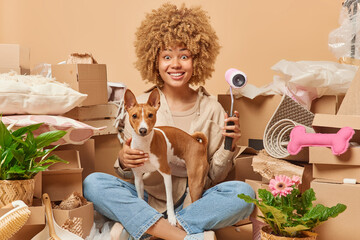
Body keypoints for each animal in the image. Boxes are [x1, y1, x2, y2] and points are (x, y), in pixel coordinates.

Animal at [123, 88, 208, 225]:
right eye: (134, 116)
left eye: (150, 115)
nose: (143, 130)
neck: (145, 145)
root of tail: (199, 144)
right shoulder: (138, 178)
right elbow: (141, 198)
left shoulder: (166, 174)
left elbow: (169, 200)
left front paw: (172, 218)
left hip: (195, 182)